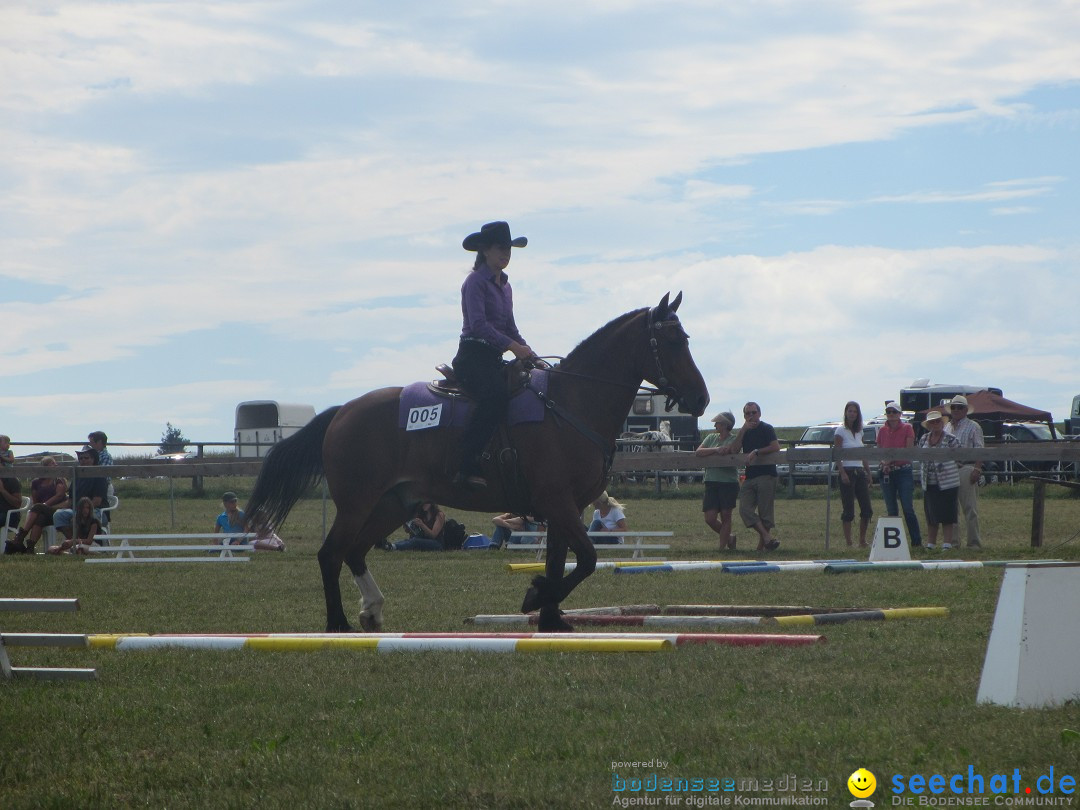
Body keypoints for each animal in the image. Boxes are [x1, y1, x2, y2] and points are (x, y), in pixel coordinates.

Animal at [248, 291, 712, 635]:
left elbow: (561, 560)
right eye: (673, 341)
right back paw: (338, 623)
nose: (701, 398)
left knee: (355, 552)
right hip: (358, 502)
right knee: (331, 554)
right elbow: (586, 559)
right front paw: (537, 596)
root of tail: (342, 411)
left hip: (393, 503)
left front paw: (550, 616)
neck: (570, 402)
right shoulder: (558, 502)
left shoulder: (565, 507)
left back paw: (372, 610)